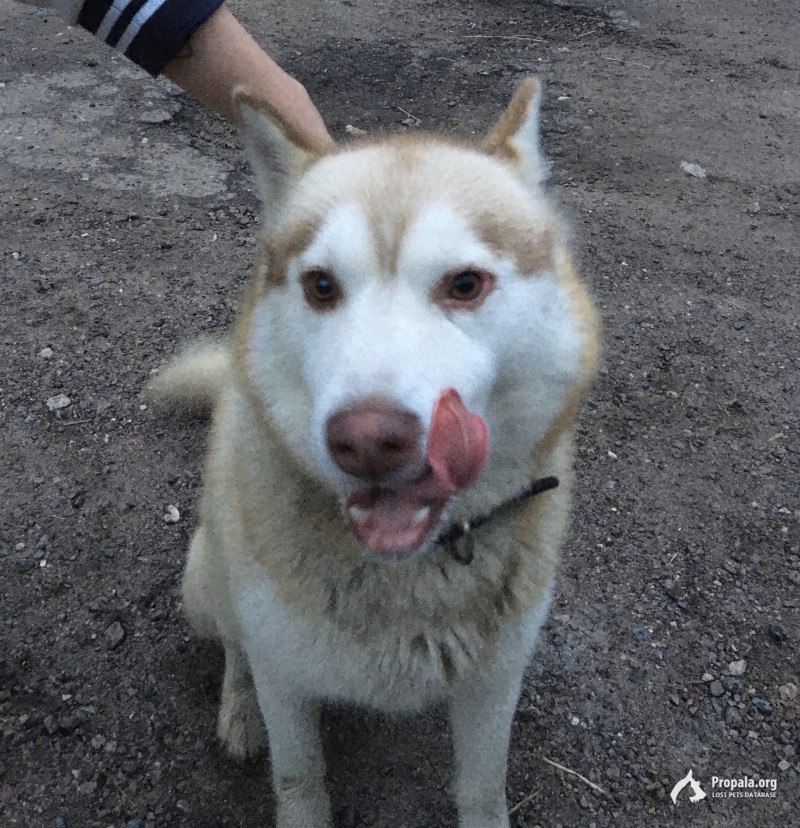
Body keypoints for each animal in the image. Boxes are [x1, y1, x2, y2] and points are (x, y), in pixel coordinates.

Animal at [152, 79, 600, 828]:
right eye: (321, 285)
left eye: (465, 283)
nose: (367, 439)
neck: (411, 575)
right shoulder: (285, 677)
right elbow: (299, 779)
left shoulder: (495, 680)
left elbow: (483, 789)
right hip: (207, 582)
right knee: (236, 651)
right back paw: (238, 710)